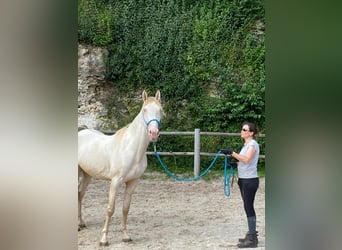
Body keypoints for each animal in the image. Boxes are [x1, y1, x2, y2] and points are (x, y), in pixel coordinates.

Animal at [78, 90, 162, 246]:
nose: (153, 133)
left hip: (87, 174)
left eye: (160, 110)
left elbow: (125, 208)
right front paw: (104, 239)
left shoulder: (133, 182)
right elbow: (110, 209)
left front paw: (125, 236)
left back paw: (80, 223)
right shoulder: (115, 182)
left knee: (80, 194)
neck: (131, 149)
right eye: (145, 110)